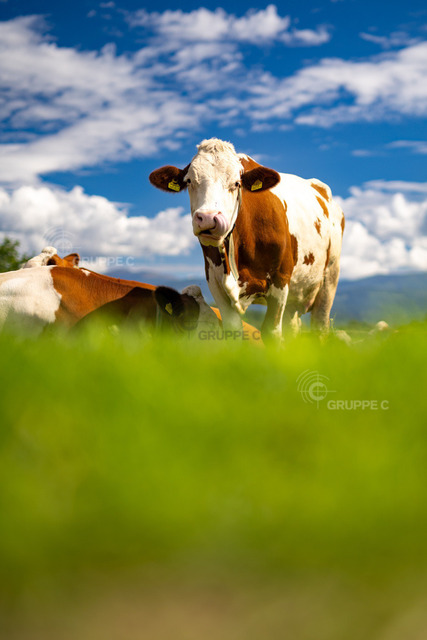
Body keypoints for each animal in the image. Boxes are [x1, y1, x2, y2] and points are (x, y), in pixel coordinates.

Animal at [149, 138, 345, 342]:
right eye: (189, 181)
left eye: (236, 183)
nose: (208, 218)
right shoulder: (215, 281)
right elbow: (233, 332)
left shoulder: (280, 280)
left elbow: (272, 332)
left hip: (329, 277)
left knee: (320, 325)